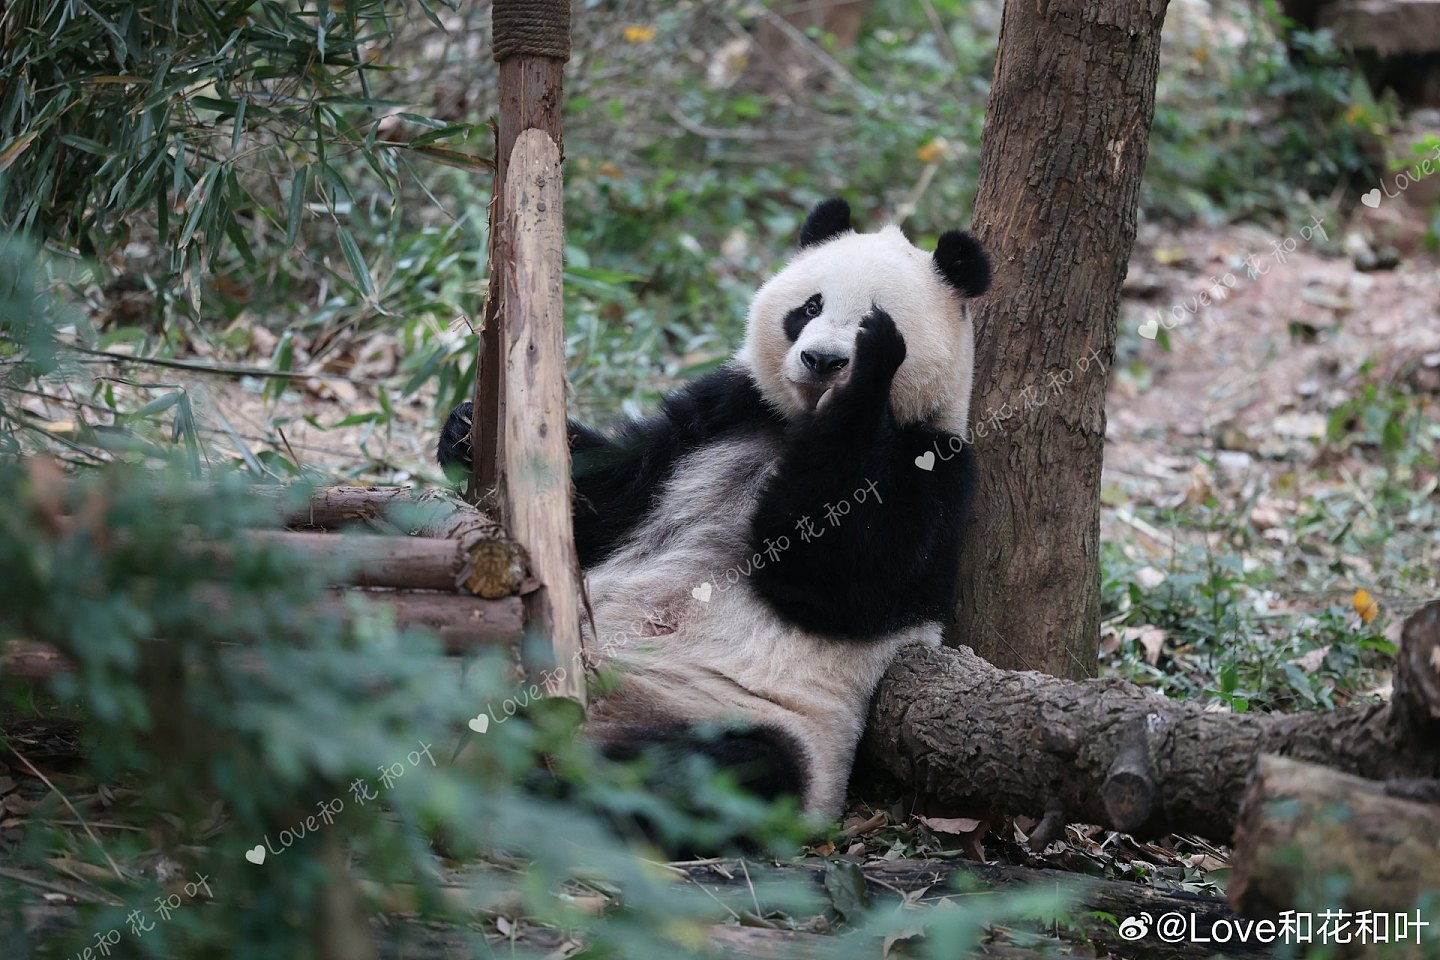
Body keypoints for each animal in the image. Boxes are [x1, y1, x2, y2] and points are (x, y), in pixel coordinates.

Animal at [437, 198, 990, 823]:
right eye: (810, 307)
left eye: (874, 317)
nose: (822, 360)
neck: (799, 424)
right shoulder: (726, 411)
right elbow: (612, 500)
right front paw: (463, 433)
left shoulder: (936, 464)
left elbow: (845, 575)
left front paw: (868, 377)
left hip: (755, 722)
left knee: (726, 771)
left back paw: (555, 783)